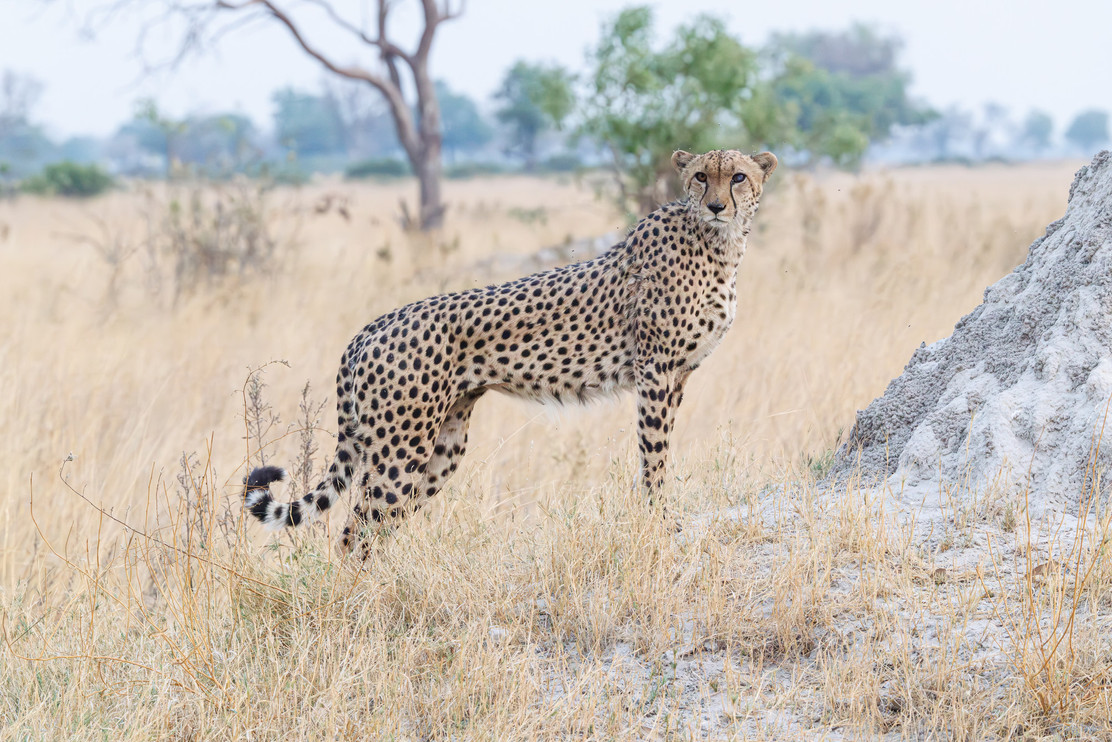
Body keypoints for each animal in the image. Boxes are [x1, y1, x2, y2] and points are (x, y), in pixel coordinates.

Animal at [243, 148, 778, 557]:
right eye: (701, 176)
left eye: (738, 177)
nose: (716, 205)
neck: (718, 244)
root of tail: (374, 325)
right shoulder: (656, 372)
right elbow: (655, 454)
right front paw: (659, 522)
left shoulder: (676, 377)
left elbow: (658, 451)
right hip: (400, 448)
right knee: (356, 530)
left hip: (441, 445)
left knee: (379, 525)